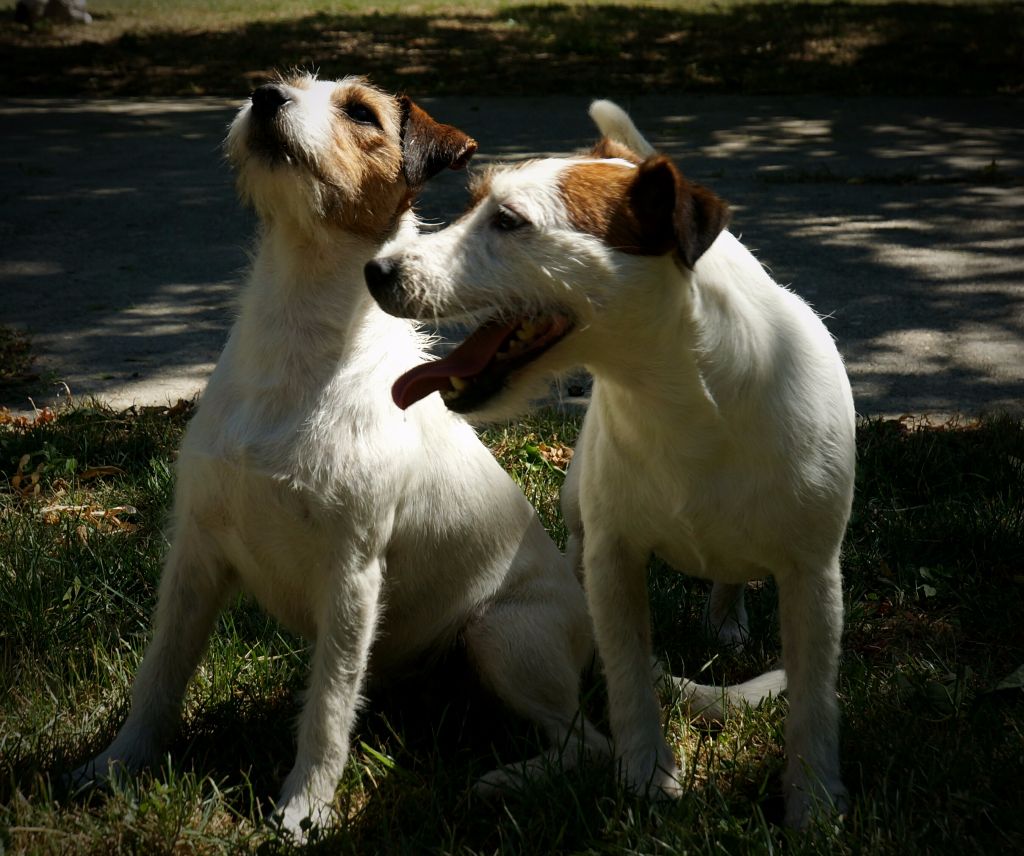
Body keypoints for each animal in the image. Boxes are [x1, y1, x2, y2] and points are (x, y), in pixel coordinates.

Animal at [74, 73, 606, 835]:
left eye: (361, 112)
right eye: (285, 82)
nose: (264, 97)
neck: (297, 341)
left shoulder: (352, 572)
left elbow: (326, 709)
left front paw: (304, 808)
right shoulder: (194, 553)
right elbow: (159, 675)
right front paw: (117, 765)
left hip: (503, 635)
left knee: (586, 743)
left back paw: (504, 781)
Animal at [368, 101, 856, 827]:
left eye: (509, 222)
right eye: (472, 204)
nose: (375, 272)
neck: (681, 399)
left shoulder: (813, 573)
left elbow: (813, 701)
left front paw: (815, 801)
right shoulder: (614, 558)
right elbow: (627, 684)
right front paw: (646, 778)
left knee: (734, 575)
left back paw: (727, 618)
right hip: (577, 513)